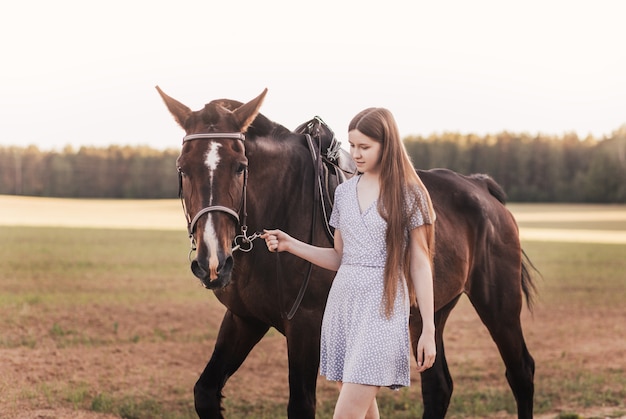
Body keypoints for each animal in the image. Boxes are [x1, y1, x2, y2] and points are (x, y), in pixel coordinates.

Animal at [157, 87, 536, 418]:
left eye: (240, 166)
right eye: (182, 168)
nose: (212, 262)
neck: (287, 199)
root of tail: (478, 185)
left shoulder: (306, 326)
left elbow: (301, 406)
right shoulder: (244, 319)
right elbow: (205, 393)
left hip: (499, 306)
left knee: (521, 372)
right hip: (428, 314)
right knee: (439, 387)